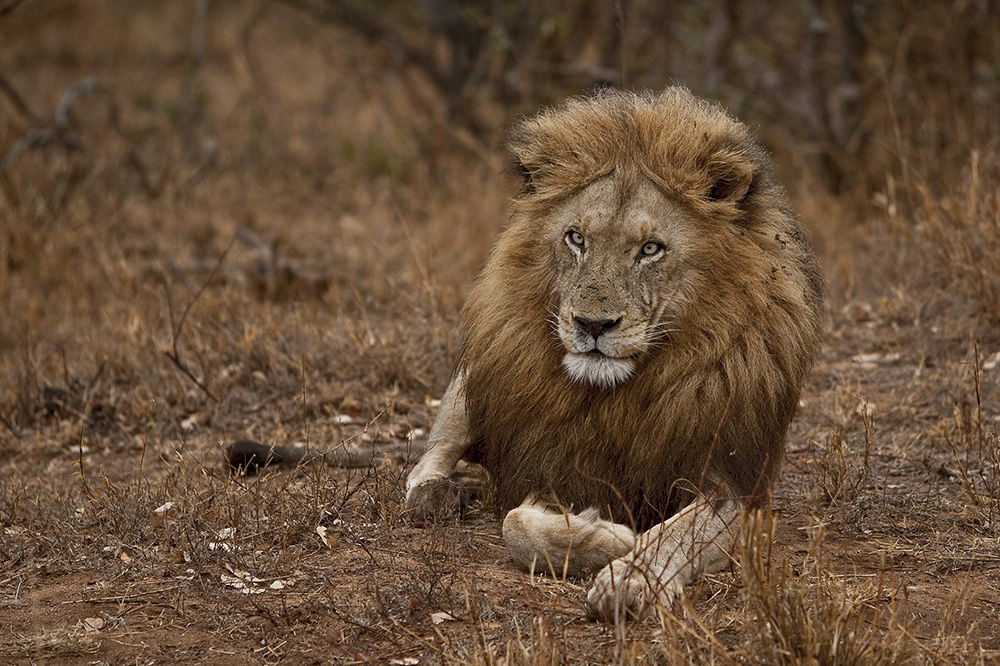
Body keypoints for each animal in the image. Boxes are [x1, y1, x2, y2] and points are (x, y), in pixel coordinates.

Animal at [404, 87, 820, 616]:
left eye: (650, 249)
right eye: (577, 238)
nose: (592, 325)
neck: (617, 397)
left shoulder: (735, 484)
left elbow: (676, 534)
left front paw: (629, 574)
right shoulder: (550, 465)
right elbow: (516, 523)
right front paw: (610, 538)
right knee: (433, 452)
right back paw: (436, 494)